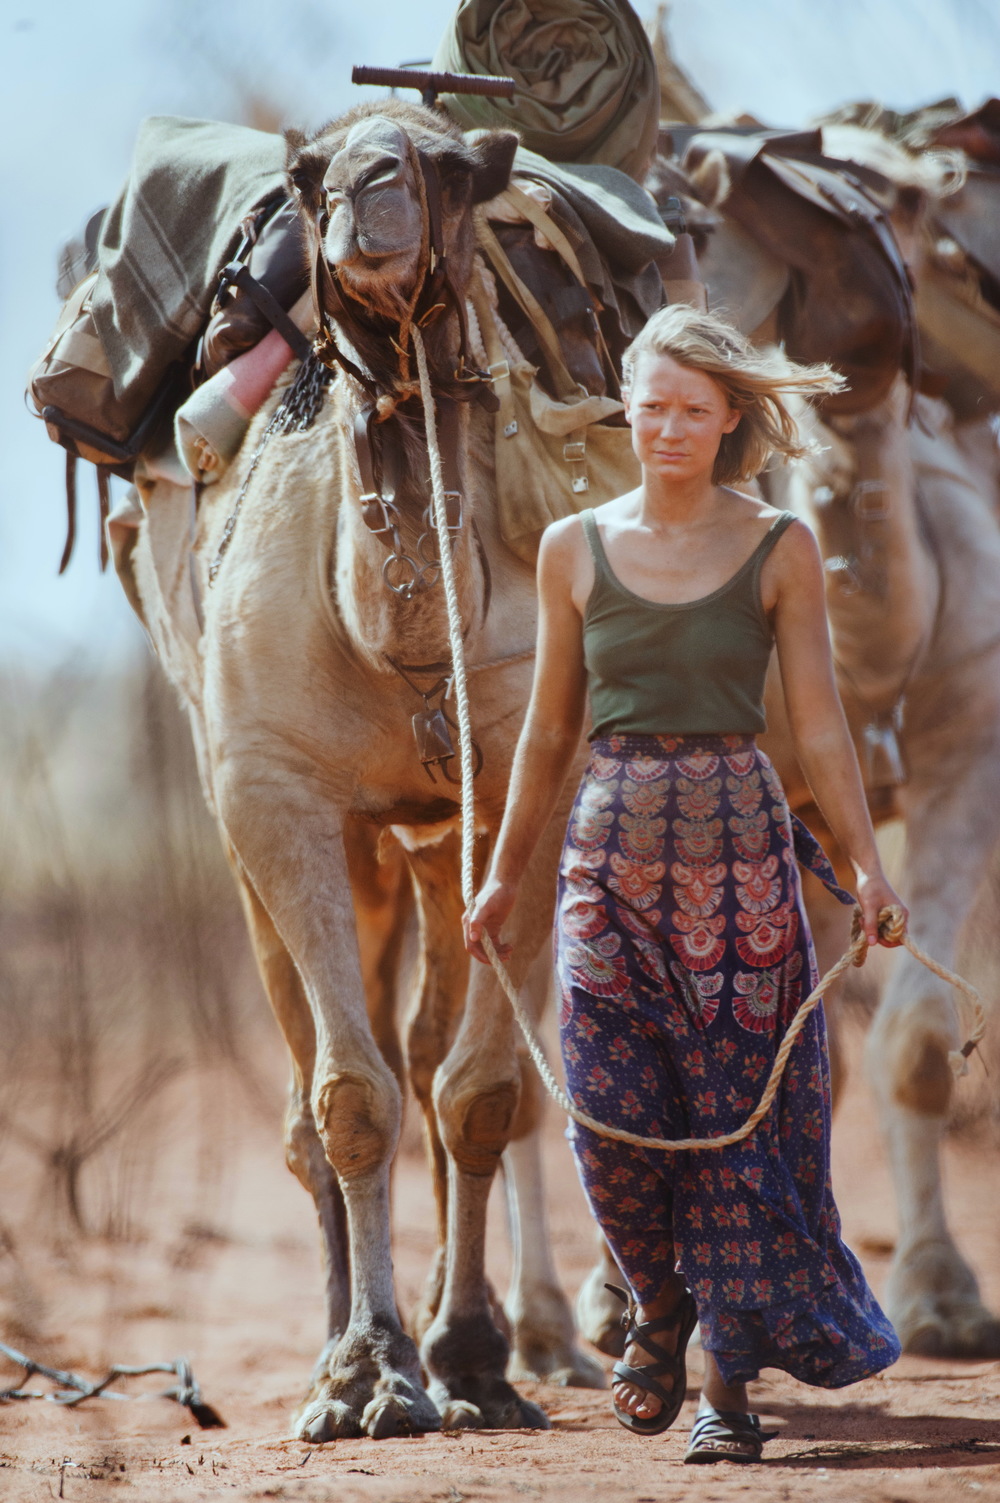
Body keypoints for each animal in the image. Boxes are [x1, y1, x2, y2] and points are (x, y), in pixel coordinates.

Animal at [118, 99, 625, 1436]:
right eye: (306, 175)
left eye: (455, 167)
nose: (369, 195)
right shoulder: (273, 795)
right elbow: (351, 1099)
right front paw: (366, 1374)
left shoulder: (521, 791)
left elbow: (477, 1094)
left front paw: (469, 1358)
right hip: (271, 833)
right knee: (317, 1095)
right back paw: (335, 1338)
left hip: (438, 845)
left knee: (434, 1059)